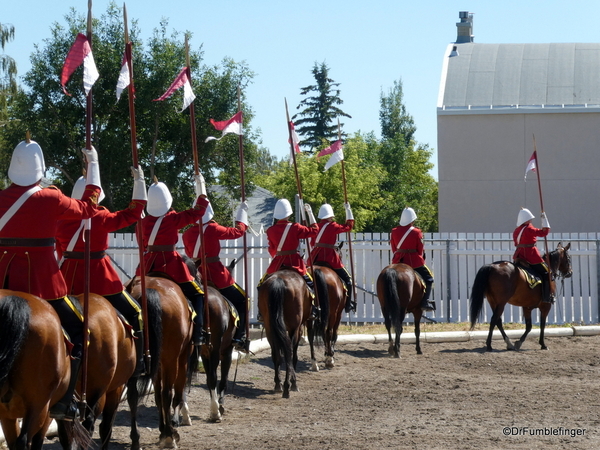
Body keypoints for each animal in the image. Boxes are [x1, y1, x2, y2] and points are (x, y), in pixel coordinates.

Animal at [127, 276, 193, 448]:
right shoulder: (181, 358)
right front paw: (171, 427)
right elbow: (175, 394)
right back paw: (170, 435)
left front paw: (162, 427)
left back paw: (136, 439)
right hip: (172, 359)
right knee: (167, 393)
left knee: (133, 396)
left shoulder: (157, 365)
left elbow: (157, 395)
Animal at [256, 268, 314, 396]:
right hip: (293, 327)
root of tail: (279, 281)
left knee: (277, 354)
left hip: (269, 327)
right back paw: (290, 385)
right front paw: (293, 383)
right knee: (289, 353)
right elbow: (294, 355)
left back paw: (278, 385)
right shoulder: (298, 329)